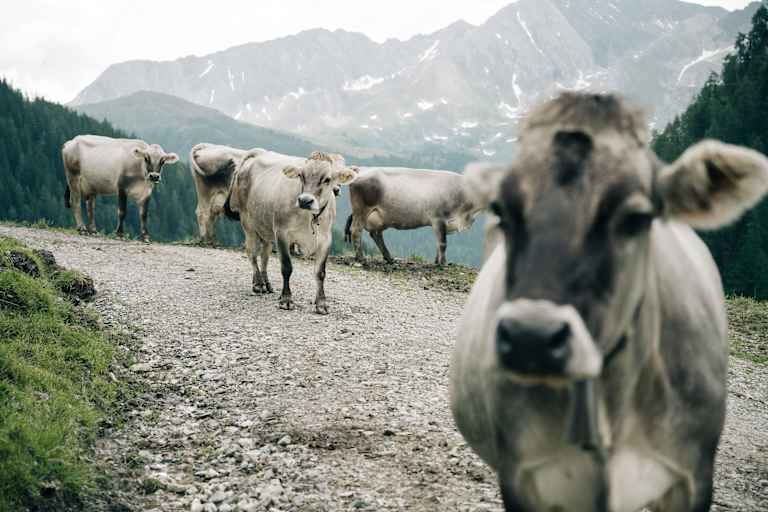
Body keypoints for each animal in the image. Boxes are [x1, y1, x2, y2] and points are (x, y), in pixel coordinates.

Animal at [190, 143, 345, 246]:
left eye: (338, 175)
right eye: (329, 177)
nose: (337, 190)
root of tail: (206, 146)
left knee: (210, 215)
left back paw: (211, 240)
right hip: (206, 192)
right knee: (203, 213)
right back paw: (206, 240)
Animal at [224, 150, 356, 315]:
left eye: (327, 179)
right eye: (301, 175)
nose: (305, 201)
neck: (309, 216)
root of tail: (257, 152)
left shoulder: (325, 240)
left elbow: (320, 273)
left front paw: (321, 303)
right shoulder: (282, 233)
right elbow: (286, 267)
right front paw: (286, 300)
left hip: (266, 228)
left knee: (264, 255)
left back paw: (267, 284)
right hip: (248, 223)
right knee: (252, 252)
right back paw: (258, 284)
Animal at [344, 167, 483, 265]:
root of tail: (360, 169)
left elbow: (438, 243)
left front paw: (437, 261)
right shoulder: (438, 218)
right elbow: (443, 243)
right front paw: (443, 263)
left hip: (378, 217)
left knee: (376, 234)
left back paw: (389, 258)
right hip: (361, 210)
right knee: (356, 231)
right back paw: (361, 258)